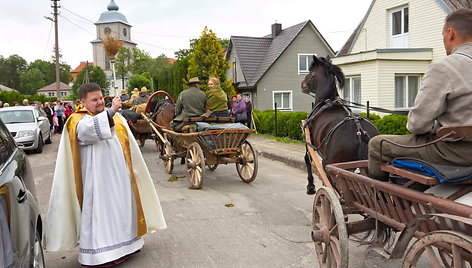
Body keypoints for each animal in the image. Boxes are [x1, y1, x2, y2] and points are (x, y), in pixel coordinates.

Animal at [302, 55, 380, 195]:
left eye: (311, 72)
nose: (303, 83)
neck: (327, 101)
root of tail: (361, 133)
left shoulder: (308, 140)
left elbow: (307, 159)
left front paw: (310, 186)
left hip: (330, 165)